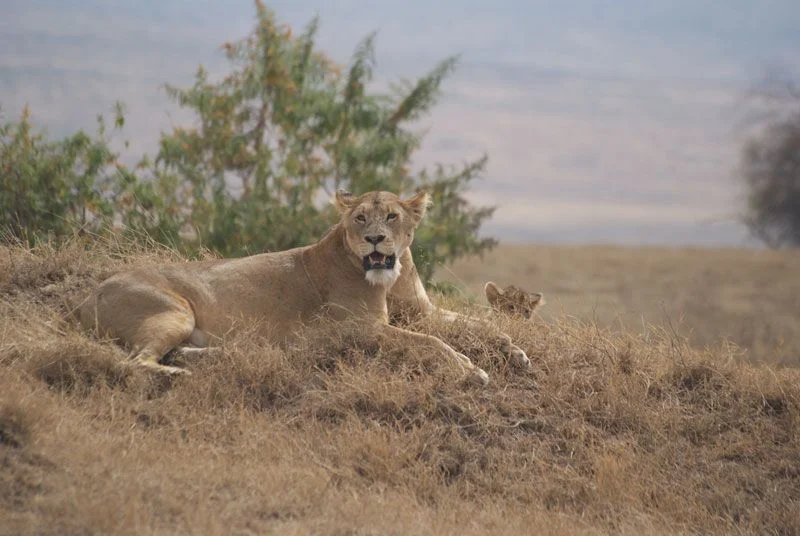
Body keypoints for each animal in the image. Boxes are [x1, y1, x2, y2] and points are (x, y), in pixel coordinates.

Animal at [77, 190, 531, 385]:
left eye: (392, 216)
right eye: (360, 219)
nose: (375, 240)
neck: (390, 274)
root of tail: (89, 295)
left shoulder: (424, 312)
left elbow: (480, 325)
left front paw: (516, 351)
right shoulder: (360, 328)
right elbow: (431, 342)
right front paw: (470, 369)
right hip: (175, 311)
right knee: (134, 362)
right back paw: (179, 373)